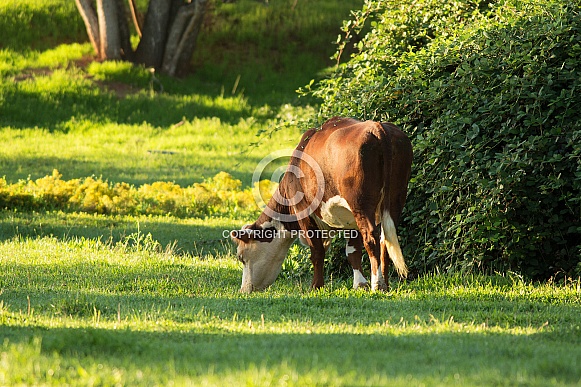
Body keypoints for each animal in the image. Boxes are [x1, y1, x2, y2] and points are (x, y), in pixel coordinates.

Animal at [231, 116, 412, 292]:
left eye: (241, 257)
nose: (243, 290)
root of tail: (377, 127)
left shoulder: (305, 214)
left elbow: (317, 252)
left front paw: (316, 286)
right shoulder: (349, 220)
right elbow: (353, 252)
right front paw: (359, 284)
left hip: (361, 203)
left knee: (371, 238)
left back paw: (377, 284)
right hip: (396, 198)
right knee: (385, 239)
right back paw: (385, 284)